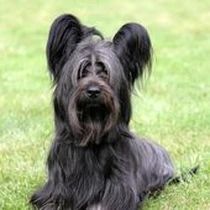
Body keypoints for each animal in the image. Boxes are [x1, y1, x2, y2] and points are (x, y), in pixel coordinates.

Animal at [30, 13, 174, 209]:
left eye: (105, 72)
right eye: (82, 71)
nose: (93, 91)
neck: (92, 129)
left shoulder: (119, 191)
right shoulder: (56, 188)